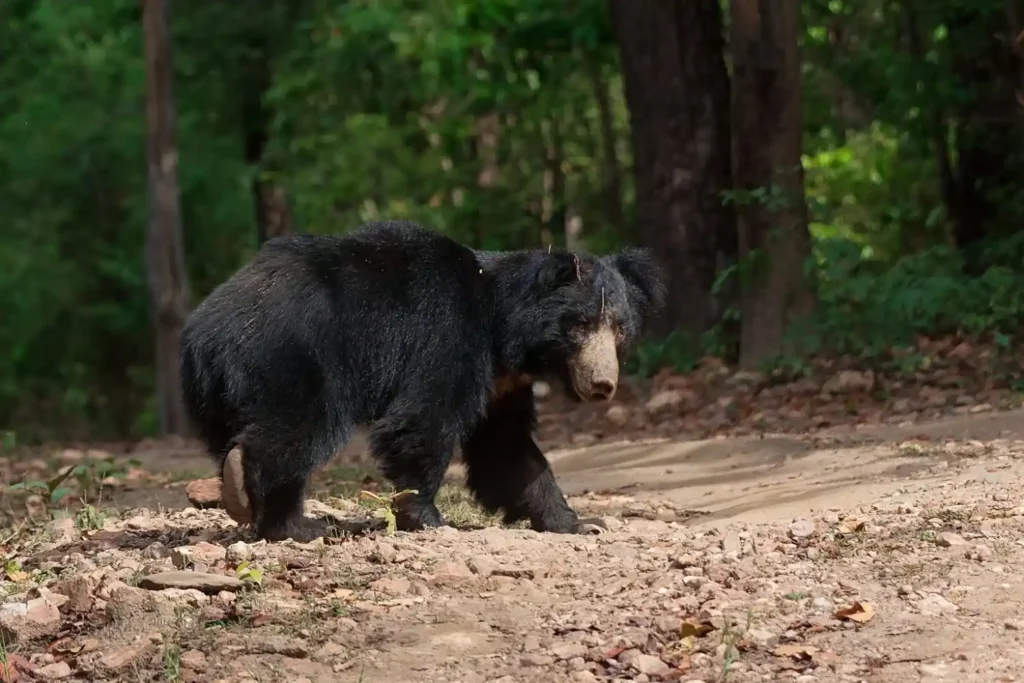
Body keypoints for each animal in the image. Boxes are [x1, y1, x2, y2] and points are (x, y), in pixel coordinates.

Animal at [180, 220, 665, 542]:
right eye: (580, 326)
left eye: (620, 329)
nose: (602, 385)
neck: (504, 332)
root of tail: (203, 331)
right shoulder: (446, 333)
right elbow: (424, 417)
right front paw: (426, 516)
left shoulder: (502, 385)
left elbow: (508, 452)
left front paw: (579, 522)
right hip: (294, 355)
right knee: (298, 431)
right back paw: (278, 513)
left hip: (220, 392)